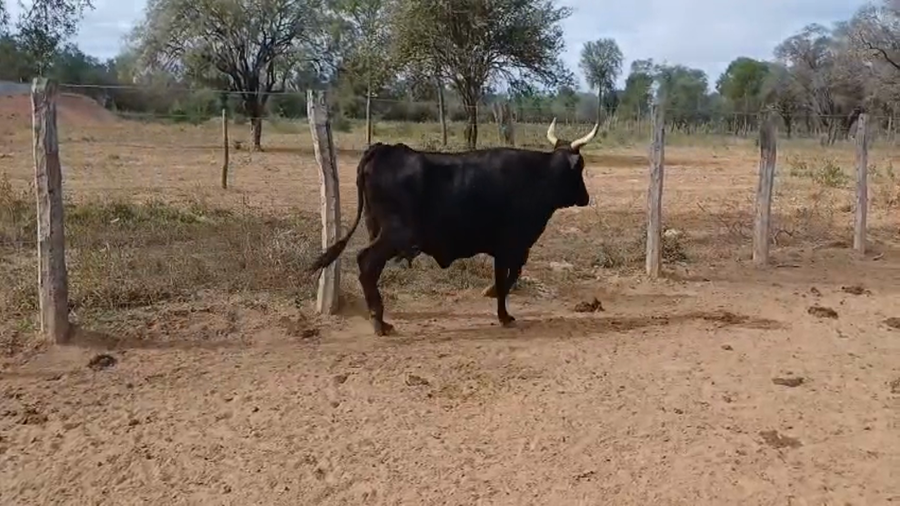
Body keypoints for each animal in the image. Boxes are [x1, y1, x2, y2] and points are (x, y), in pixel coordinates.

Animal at [307, 119, 599, 336]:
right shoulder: (512, 246)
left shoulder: (503, 249)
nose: (586, 197)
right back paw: (379, 322)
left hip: (378, 230)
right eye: (580, 167)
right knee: (366, 263)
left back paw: (381, 320)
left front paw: (499, 309)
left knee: (369, 270)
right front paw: (502, 312)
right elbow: (508, 279)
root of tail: (384, 149)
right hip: (393, 235)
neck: (537, 177)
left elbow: (503, 277)